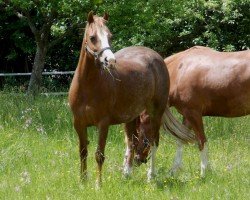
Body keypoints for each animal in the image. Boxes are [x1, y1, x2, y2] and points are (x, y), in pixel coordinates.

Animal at [69, 11, 195, 188]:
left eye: (110, 36)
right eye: (92, 37)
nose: (110, 61)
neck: (88, 87)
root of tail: (157, 58)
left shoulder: (103, 124)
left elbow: (99, 154)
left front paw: (98, 185)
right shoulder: (79, 123)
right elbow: (83, 152)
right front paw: (82, 182)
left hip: (155, 112)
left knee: (153, 141)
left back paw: (150, 176)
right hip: (131, 117)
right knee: (131, 143)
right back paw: (126, 175)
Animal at [164, 45, 250, 177]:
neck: (179, 71)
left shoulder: (193, 113)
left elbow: (201, 141)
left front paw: (204, 174)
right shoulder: (187, 116)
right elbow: (180, 140)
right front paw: (173, 171)